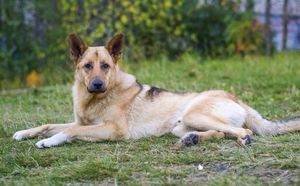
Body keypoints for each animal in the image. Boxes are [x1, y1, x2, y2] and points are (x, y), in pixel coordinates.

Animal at [12, 32, 300, 148]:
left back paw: (241, 140)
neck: (94, 99)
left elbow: (70, 131)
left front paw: (48, 142)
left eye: (105, 66)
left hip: (196, 114)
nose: (97, 84)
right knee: (219, 132)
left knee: (243, 131)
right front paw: (24, 133)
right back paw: (191, 140)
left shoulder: (113, 130)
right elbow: (49, 124)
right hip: (181, 125)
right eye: (87, 66)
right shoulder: (81, 121)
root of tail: (236, 98)